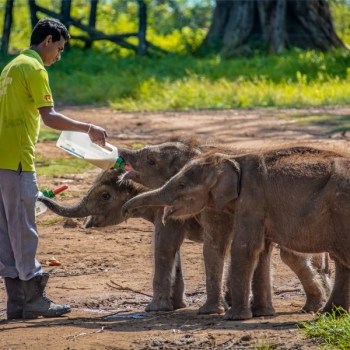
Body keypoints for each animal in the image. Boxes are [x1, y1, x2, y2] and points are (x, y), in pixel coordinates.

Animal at [121, 145, 344, 320]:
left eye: (151, 161)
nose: (125, 210)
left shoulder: (237, 203)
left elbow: (224, 246)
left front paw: (220, 314)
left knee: (292, 254)